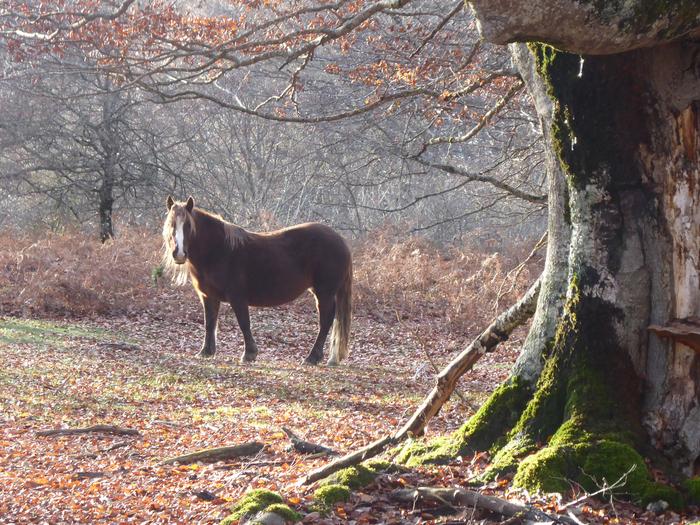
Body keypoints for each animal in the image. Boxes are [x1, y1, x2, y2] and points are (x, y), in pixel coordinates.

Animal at [161, 196, 352, 364]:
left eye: (188, 225)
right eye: (171, 225)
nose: (179, 254)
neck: (219, 250)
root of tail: (340, 240)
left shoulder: (237, 297)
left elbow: (244, 323)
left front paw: (249, 354)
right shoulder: (208, 296)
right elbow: (210, 323)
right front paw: (206, 352)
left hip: (324, 293)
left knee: (326, 320)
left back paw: (312, 358)